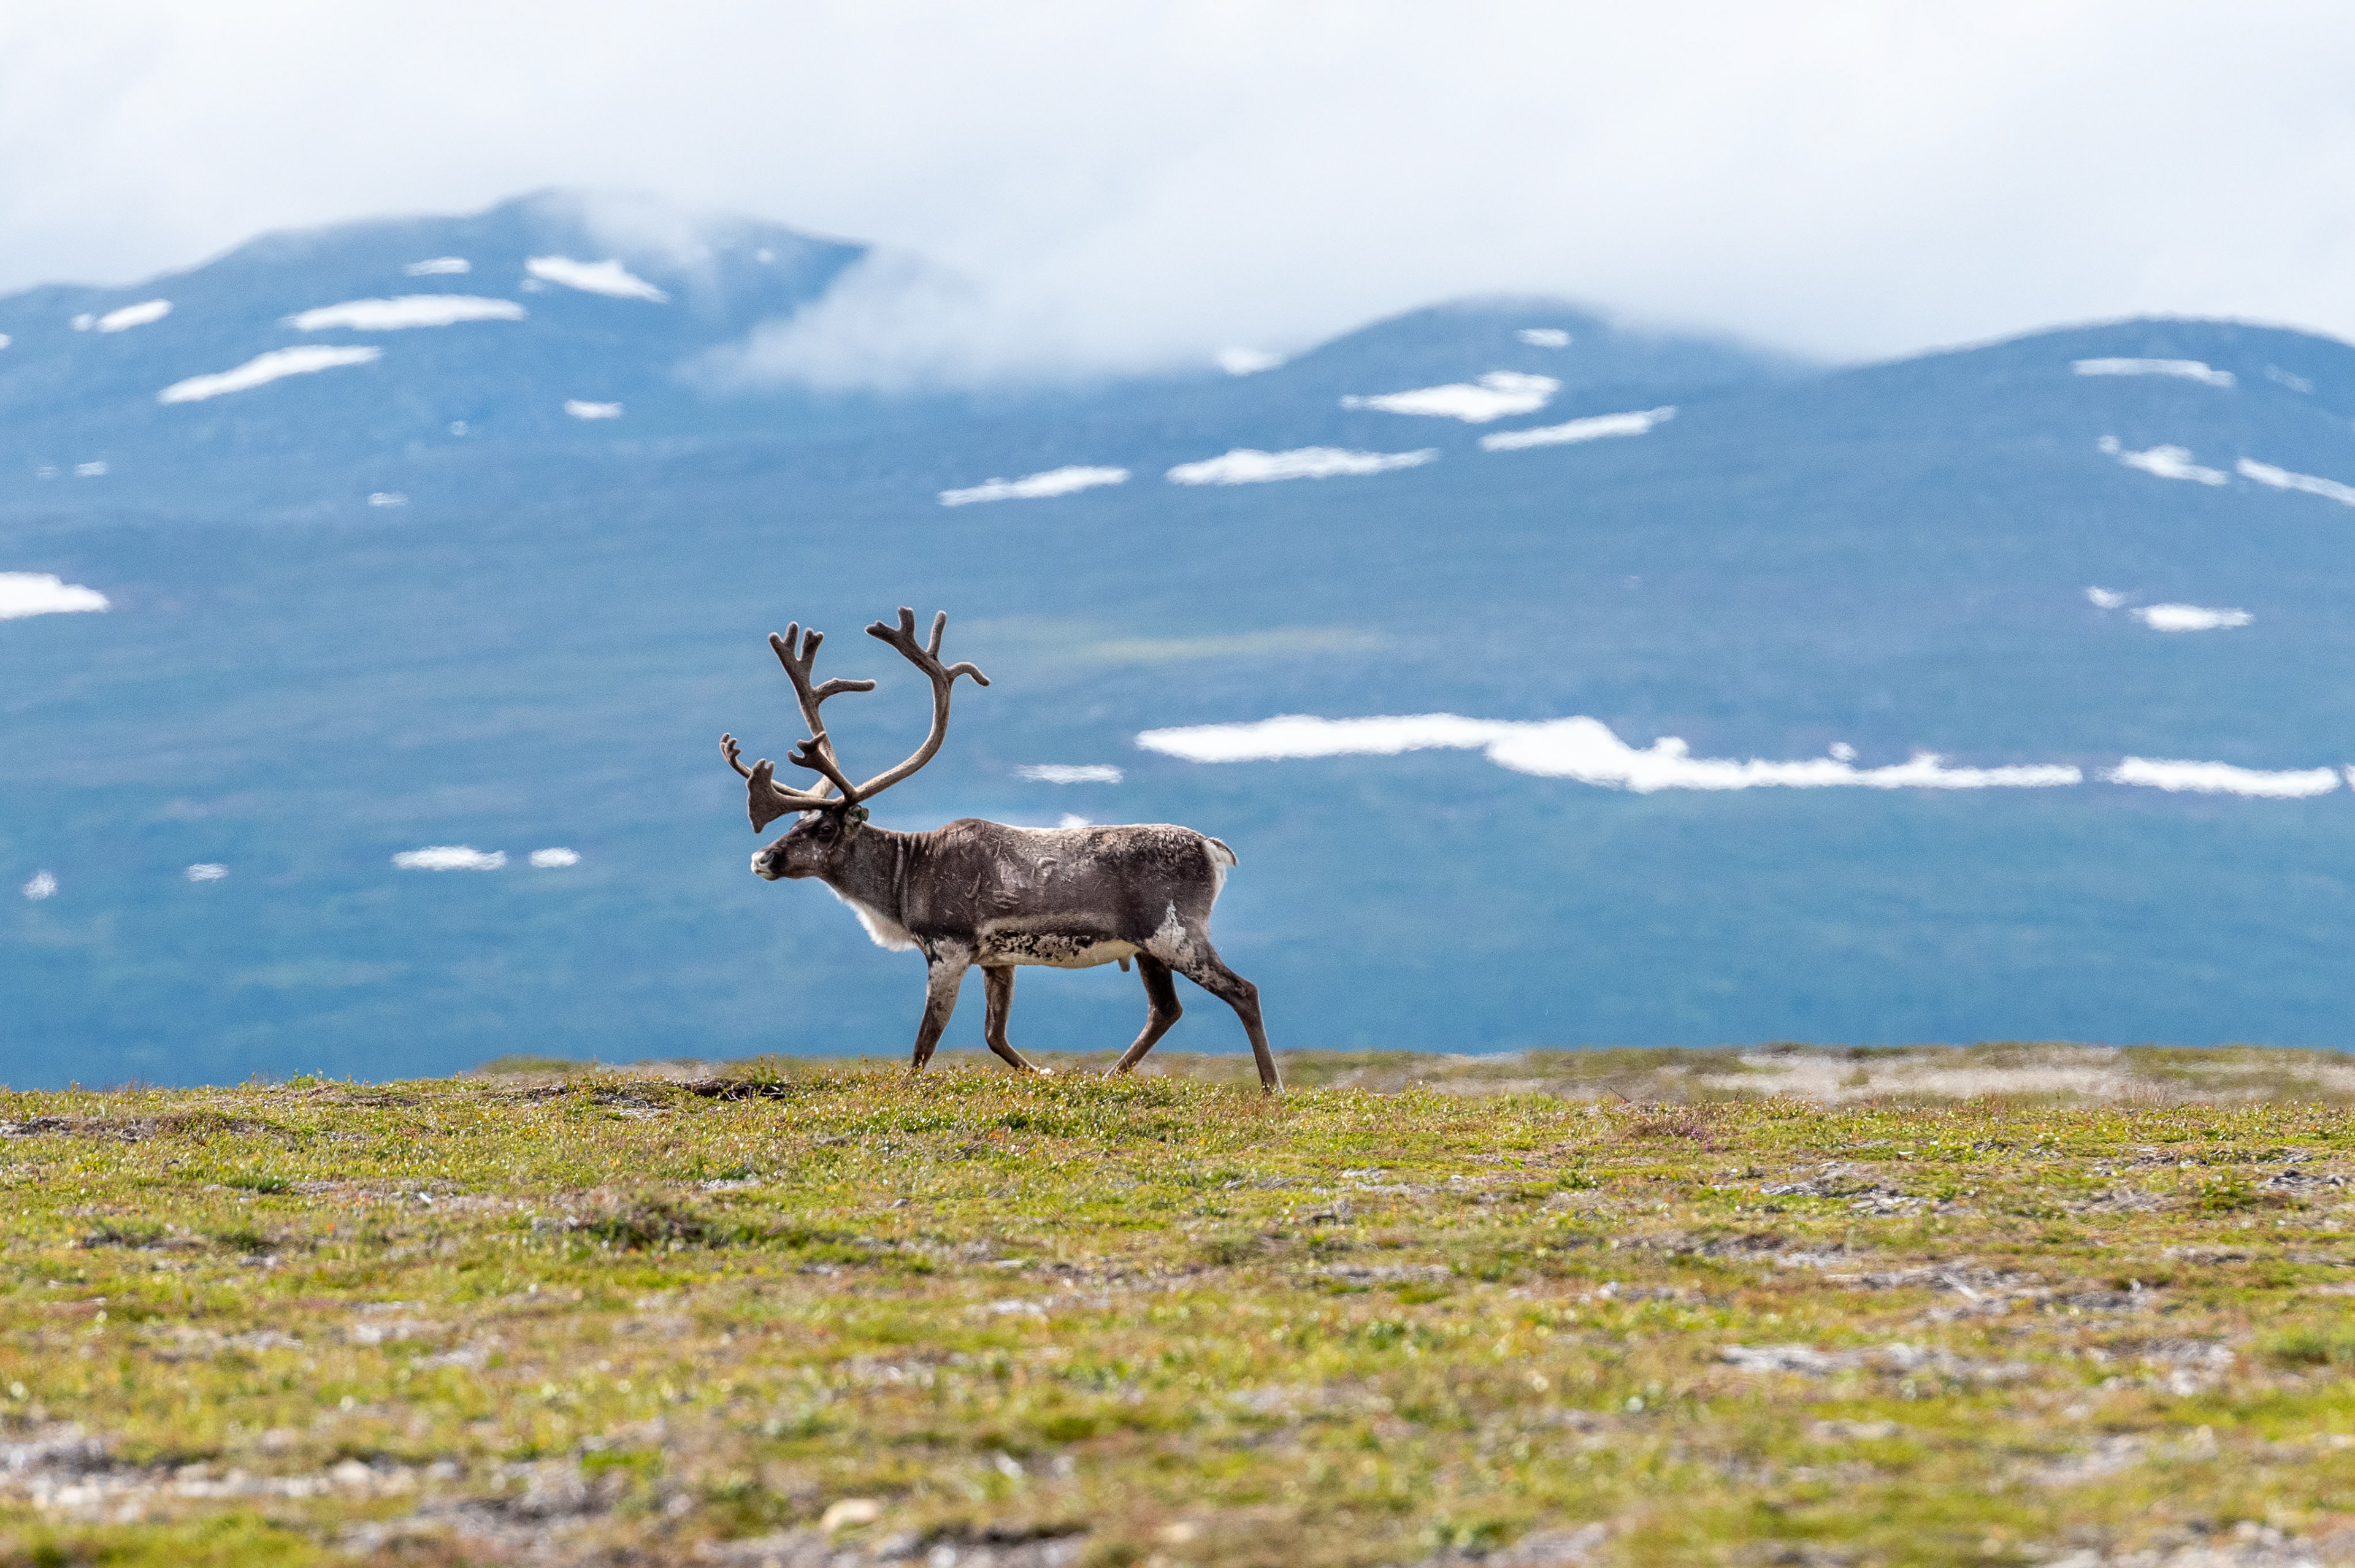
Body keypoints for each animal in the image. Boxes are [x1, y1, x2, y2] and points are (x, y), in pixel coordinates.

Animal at [721, 607, 1281, 1091]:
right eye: (797, 821)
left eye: (823, 830)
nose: (761, 859)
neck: (905, 876)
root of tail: (1213, 848)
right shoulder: (997, 959)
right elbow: (995, 1037)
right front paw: (1045, 1075)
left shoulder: (947, 949)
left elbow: (926, 1043)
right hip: (1148, 947)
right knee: (1165, 1010)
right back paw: (1109, 1076)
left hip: (1176, 933)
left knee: (1243, 990)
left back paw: (1271, 1085)